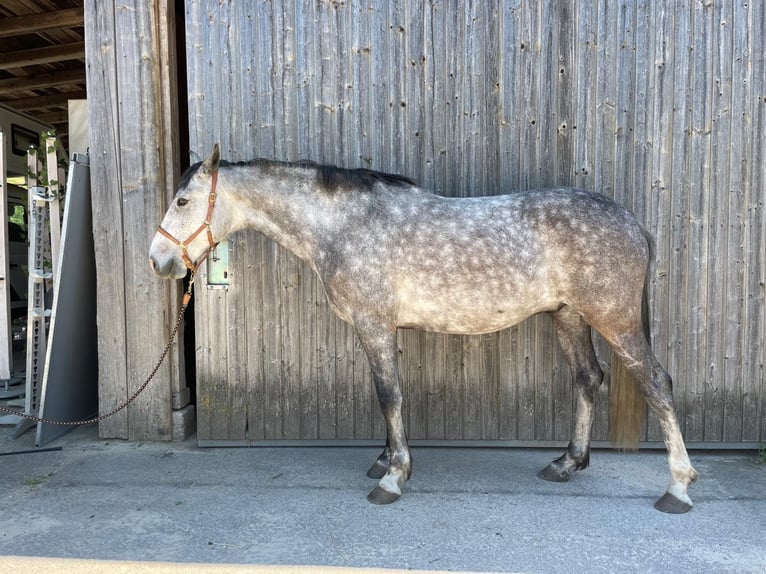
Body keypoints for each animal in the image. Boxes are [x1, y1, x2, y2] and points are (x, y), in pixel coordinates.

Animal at [150, 145, 704, 516]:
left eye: (183, 202)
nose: (158, 262)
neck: (344, 225)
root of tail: (631, 221)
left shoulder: (374, 324)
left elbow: (389, 395)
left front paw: (393, 477)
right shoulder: (378, 327)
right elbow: (387, 396)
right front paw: (384, 460)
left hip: (614, 320)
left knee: (657, 384)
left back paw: (677, 487)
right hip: (569, 317)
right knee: (588, 380)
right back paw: (566, 464)